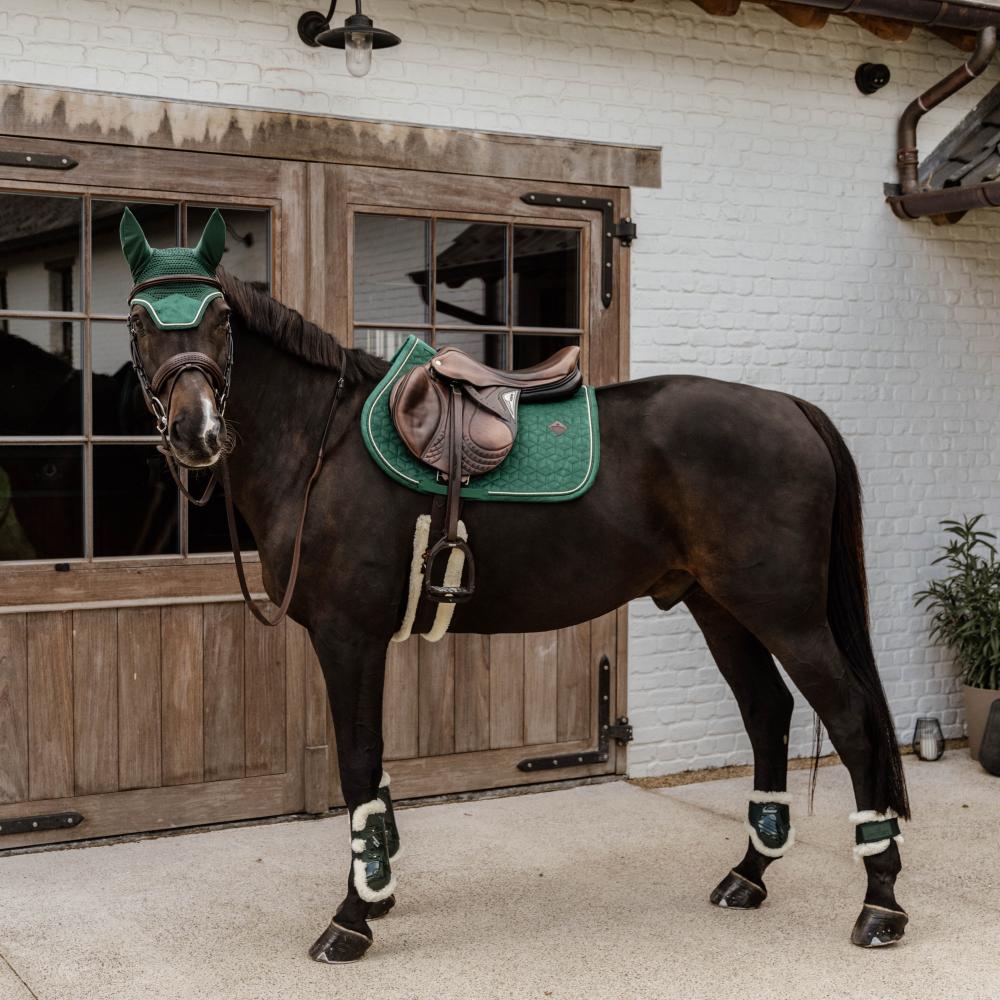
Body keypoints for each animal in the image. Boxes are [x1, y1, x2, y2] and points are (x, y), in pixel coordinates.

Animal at [122, 236, 910, 962]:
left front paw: (352, 917)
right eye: (137, 320)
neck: (323, 444)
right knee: (768, 712)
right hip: (720, 607)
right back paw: (749, 874)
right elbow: (372, 767)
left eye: (220, 316)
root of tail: (790, 408)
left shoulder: (349, 636)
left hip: (786, 614)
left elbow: (357, 762)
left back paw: (880, 904)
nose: (197, 431)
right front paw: (379, 892)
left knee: (850, 717)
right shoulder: (359, 640)